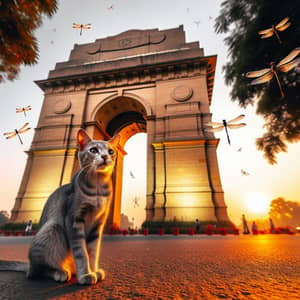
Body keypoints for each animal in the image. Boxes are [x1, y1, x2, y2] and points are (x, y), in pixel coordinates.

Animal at [0, 128, 119, 284]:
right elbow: (81, 252)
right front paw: (85, 274)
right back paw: (60, 272)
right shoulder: (74, 219)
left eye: (111, 151)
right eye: (93, 150)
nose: (105, 156)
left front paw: (94, 270)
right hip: (53, 229)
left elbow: (93, 252)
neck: (98, 188)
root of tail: (29, 265)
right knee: (38, 271)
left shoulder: (98, 223)